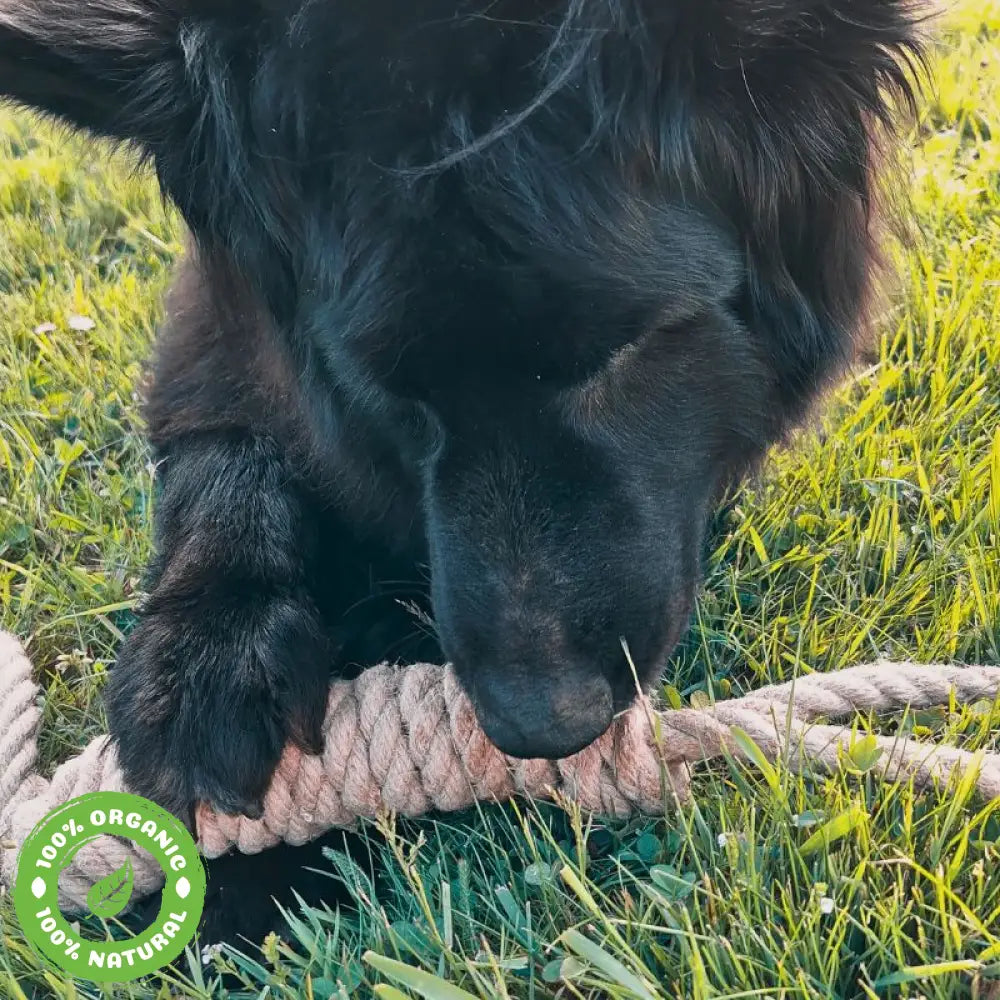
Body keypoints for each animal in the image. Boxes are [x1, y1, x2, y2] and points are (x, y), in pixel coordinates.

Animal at [0, 0, 924, 944]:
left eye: (620, 354)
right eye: (391, 392)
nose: (544, 726)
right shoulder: (224, 321)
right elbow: (227, 443)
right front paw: (209, 650)